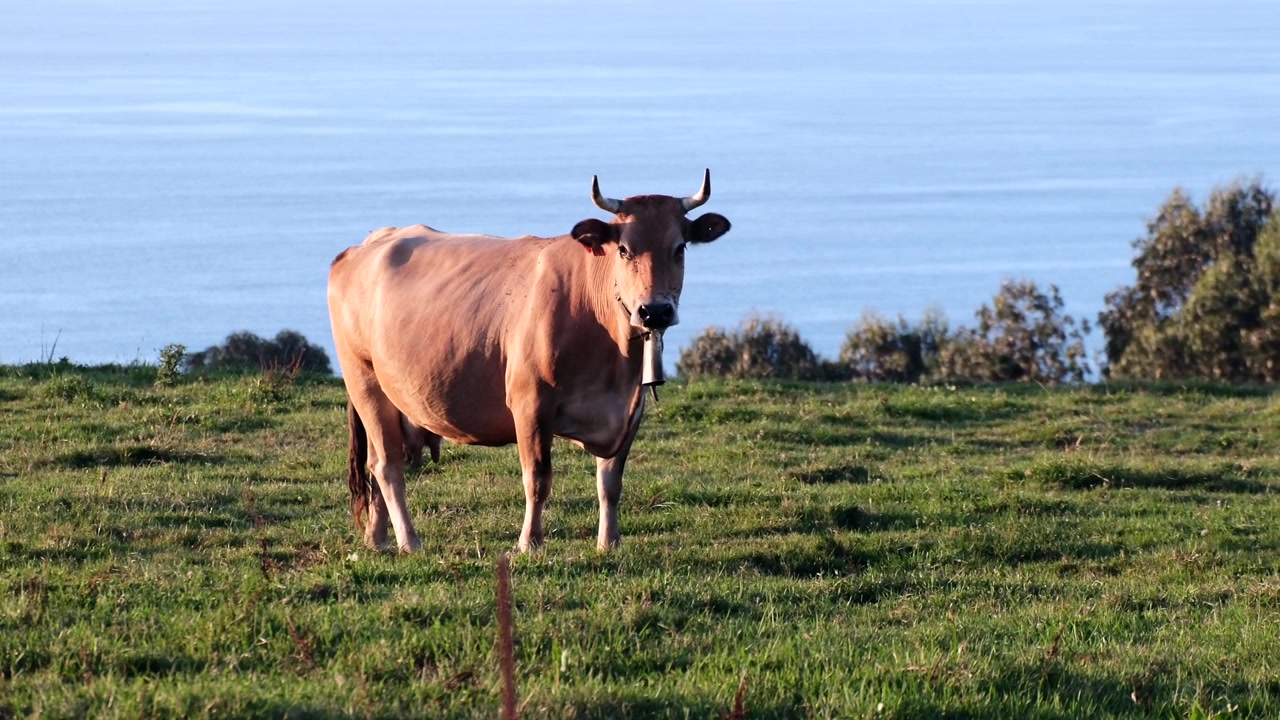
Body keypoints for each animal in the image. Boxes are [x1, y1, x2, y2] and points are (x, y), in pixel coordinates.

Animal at [327, 170, 731, 552]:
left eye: (679, 247)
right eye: (624, 250)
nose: (654, 311)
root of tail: (373, 241)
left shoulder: (630, 410)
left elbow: (610, 481)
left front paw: (609, 542)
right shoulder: (530, 403)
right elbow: (537, 479)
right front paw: (530, 543)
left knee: (375, 462)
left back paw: (378, 537)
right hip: (364, 381)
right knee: (387, 464)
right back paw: (409, 541)